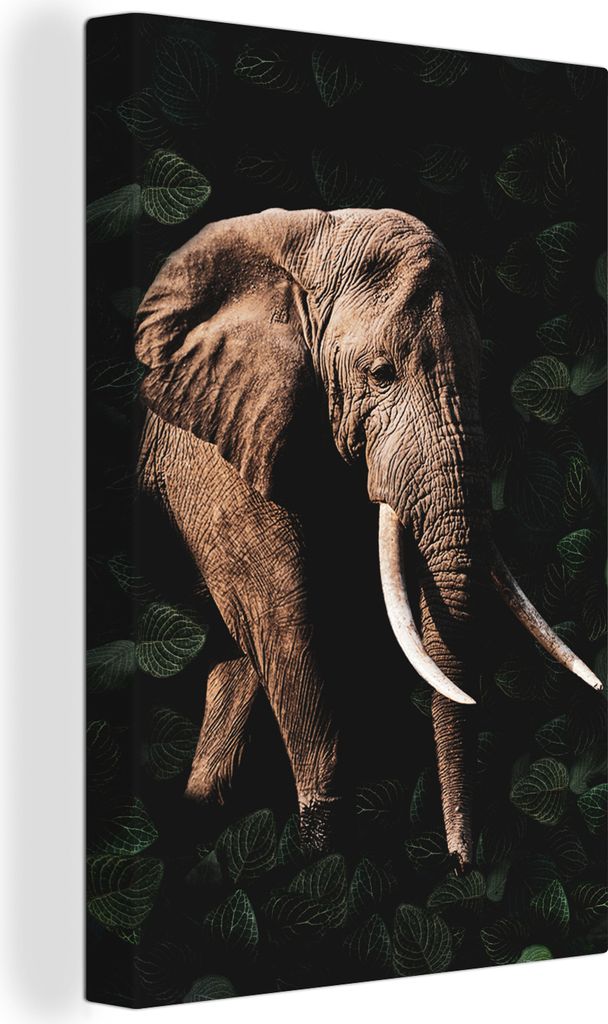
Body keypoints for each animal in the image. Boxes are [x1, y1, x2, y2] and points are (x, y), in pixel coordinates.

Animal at [134, 207, 602, 872]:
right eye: (380, 374)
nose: (461, 865)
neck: (309, 242)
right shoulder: (214, 450)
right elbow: (288, 618)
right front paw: (324, 856)